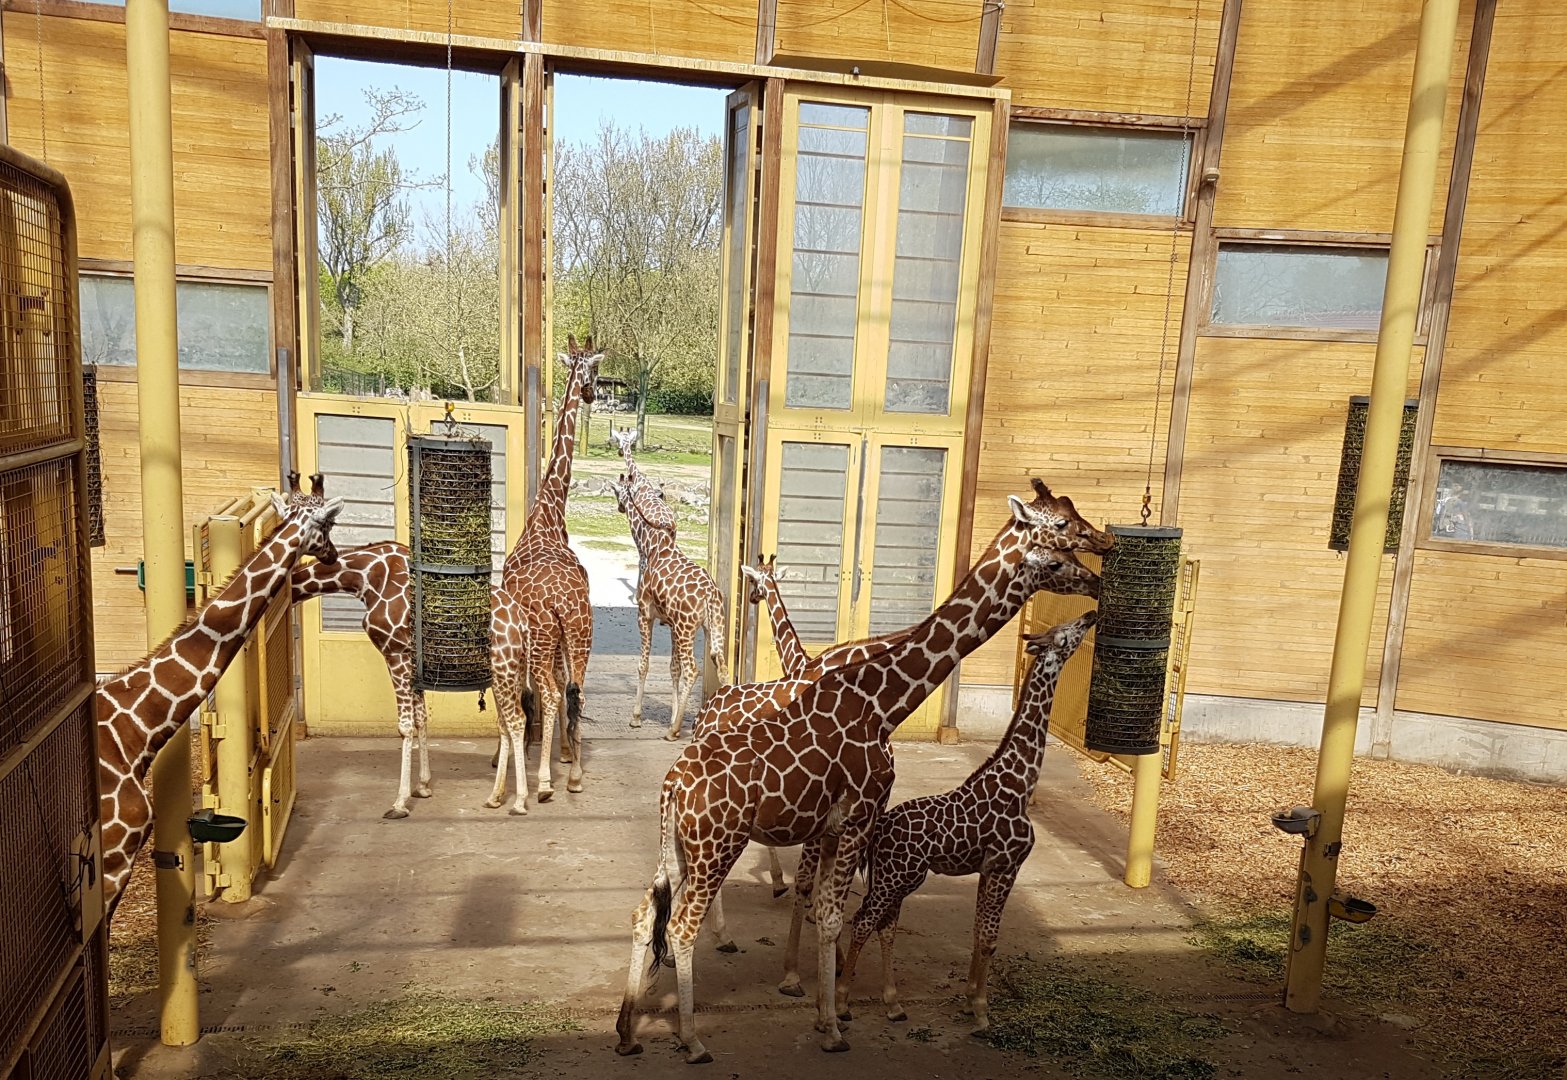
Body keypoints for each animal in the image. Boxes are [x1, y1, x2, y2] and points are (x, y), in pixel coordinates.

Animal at [837, 611, 1097, 1033]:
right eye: (1064, 634)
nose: (1090, 615)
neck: (1021, 782)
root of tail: (877, 833)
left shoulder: (989, 868)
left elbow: (977, 933)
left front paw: (969, 1000)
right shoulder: (1007, 865)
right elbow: (989, 938)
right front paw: (981, 1011)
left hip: (902, 878)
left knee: (885, 925)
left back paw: (893, 1004)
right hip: (896, 876)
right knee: (862, 921)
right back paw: (842, 1002)